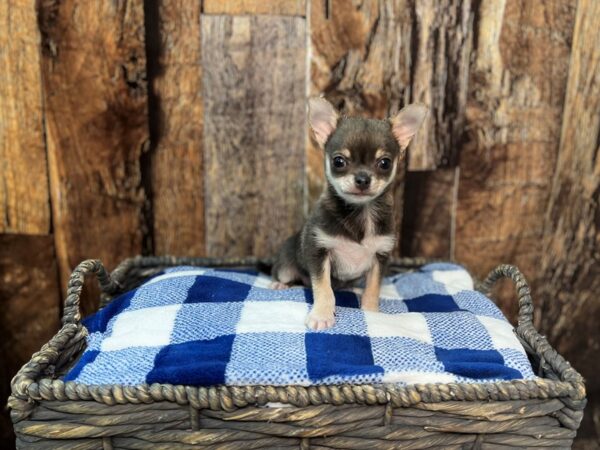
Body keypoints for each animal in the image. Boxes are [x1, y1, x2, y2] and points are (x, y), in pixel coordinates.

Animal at [272, 98, 426, 328]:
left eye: (385, 163)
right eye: (339, 161)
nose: (363, 179)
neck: (360, 213)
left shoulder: (380, 258)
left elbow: (373, 288)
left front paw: (371, 310)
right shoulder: (318, 252)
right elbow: (324, 289)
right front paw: (322, 315)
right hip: (286, 266)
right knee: (286, 276)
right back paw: (279, 284)